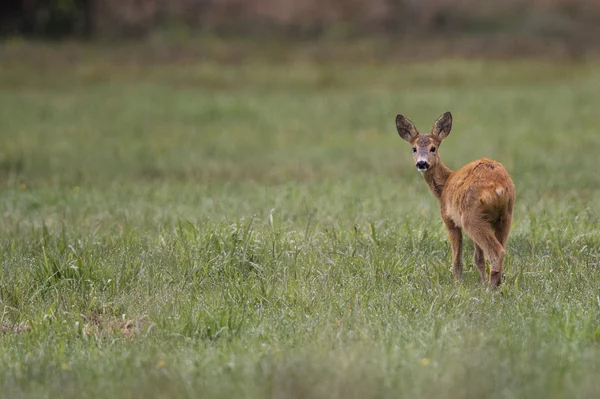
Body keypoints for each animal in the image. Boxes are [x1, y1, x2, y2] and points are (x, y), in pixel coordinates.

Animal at [394, 111, 516, 288]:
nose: (422, 163)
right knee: (499, 248)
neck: (445, 184)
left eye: (433, 148)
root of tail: (498, 188)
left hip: (471, 217)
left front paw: (458, 284)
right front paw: (481, 282)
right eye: (414, 148)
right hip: (506, 215)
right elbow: (478, 259)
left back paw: (490, 290)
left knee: (496, 251)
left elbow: (457, 260)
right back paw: (494, 284)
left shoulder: (449, 220)